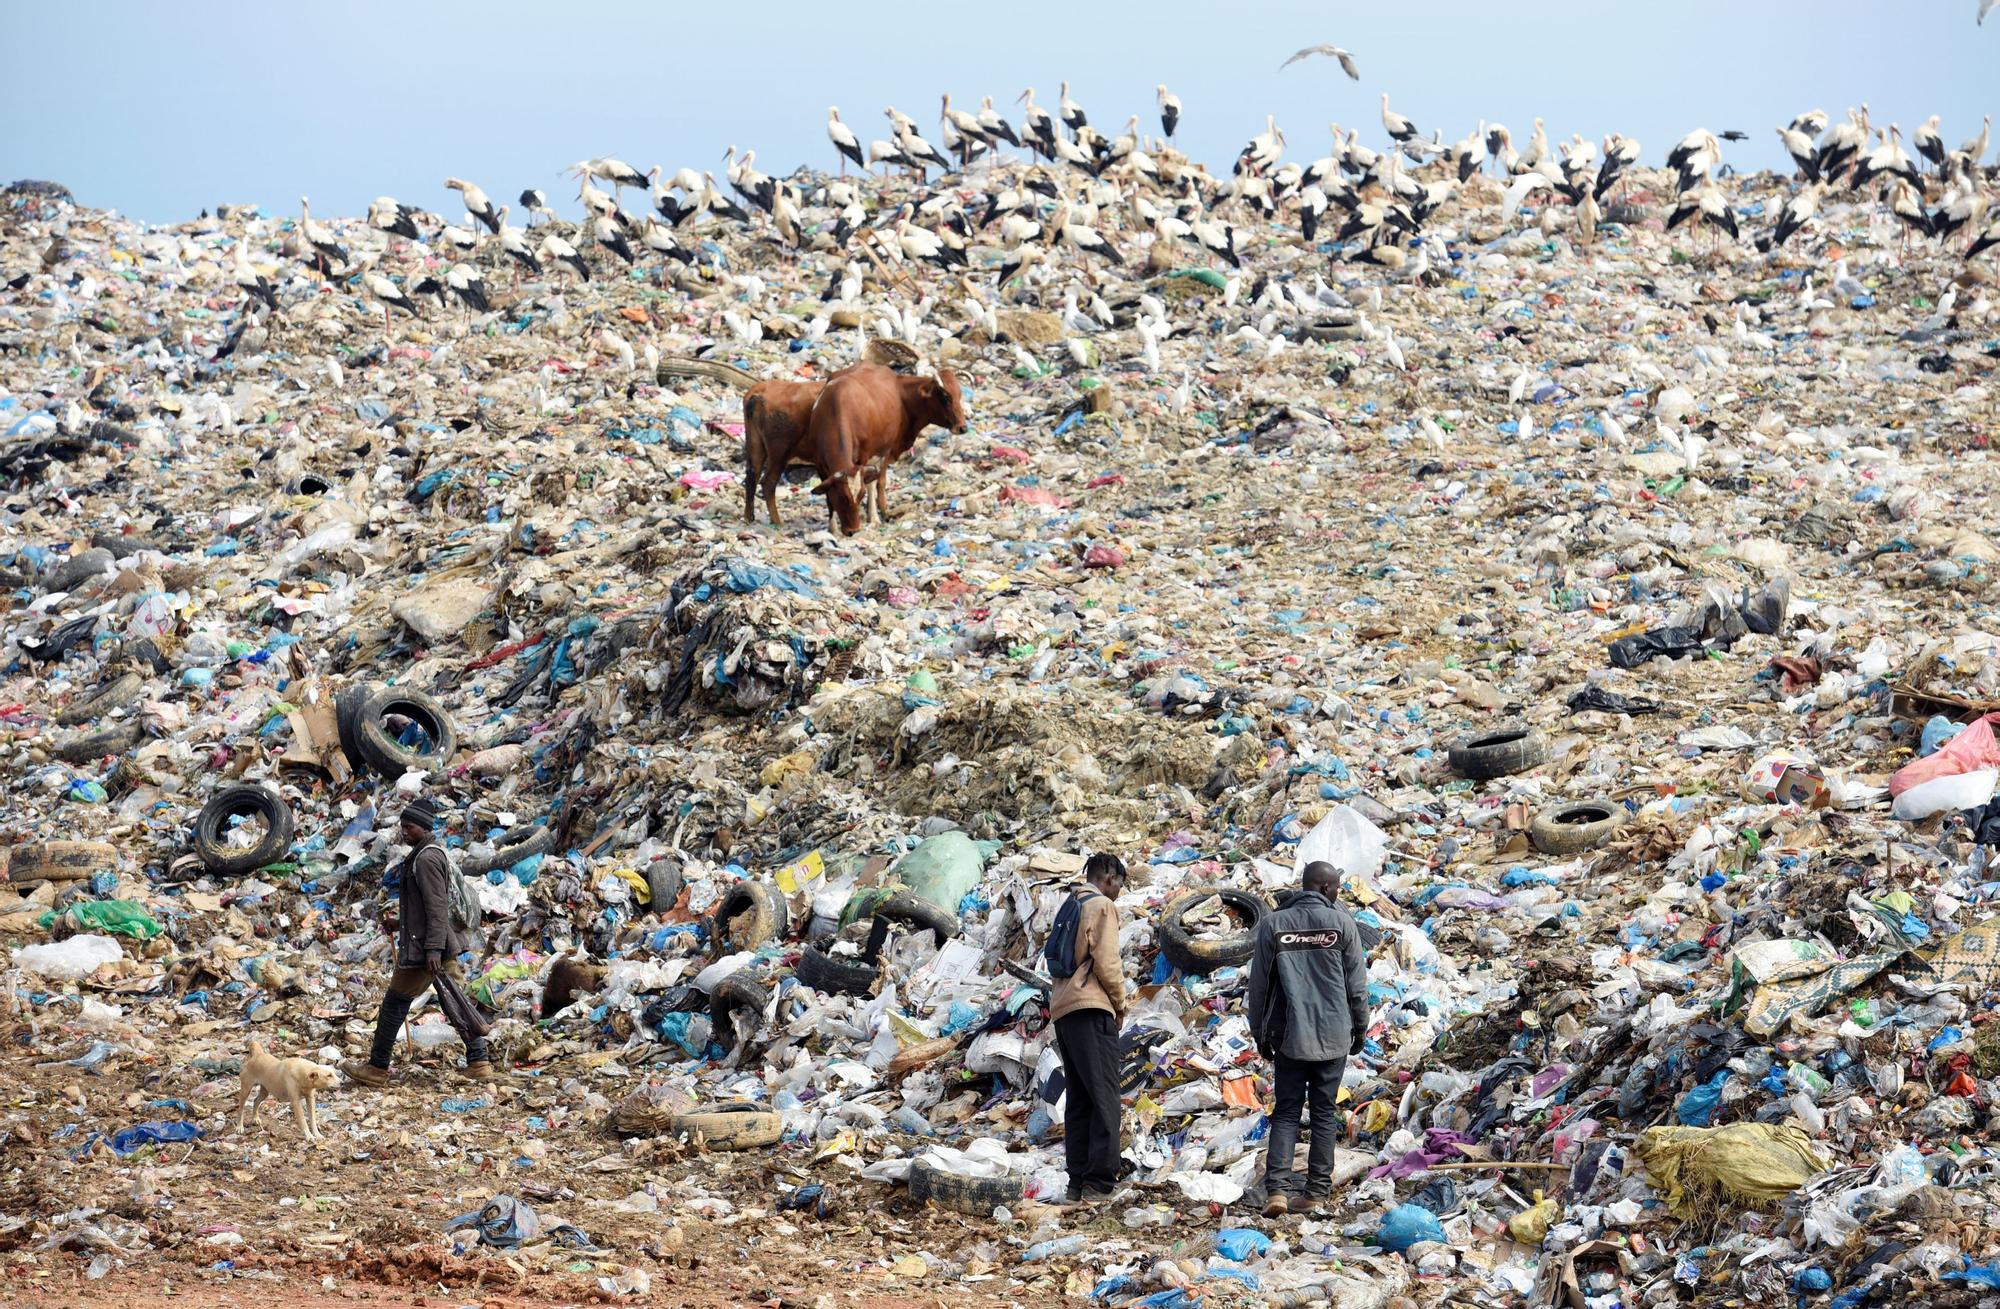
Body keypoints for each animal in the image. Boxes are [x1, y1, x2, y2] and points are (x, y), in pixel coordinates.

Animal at [808, 364, 972, 532]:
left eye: (959, 395)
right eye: (945, 397)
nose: (963, 427)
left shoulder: (869, 456)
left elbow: (873, 483)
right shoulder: (820, 465)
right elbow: (828, 495)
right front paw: (833, 527)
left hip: (881, 450)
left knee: (876, 482)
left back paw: (875, 516)